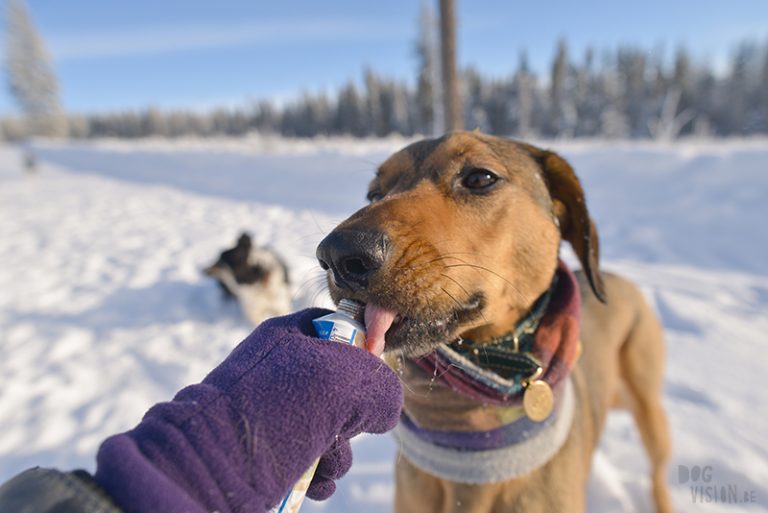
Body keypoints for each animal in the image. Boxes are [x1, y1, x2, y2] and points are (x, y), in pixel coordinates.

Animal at [316, 132, 668, 512]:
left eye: (480, 178)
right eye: (373, 193)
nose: (337, 254)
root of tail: (617, 277)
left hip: (649, 409)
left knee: (659, 471)